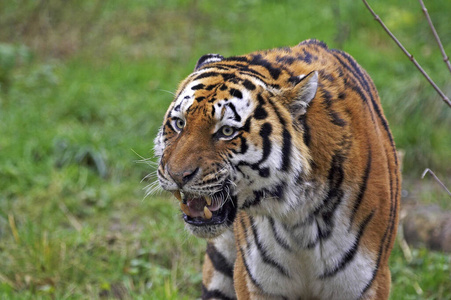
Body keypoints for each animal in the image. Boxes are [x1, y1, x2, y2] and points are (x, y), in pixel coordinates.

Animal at [154, 39, 400, 300]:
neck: (298, 218)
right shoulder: (255, 282)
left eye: (227, 132)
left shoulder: (366, 283)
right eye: (179, 123)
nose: (177, 175)